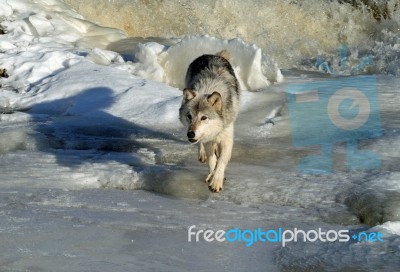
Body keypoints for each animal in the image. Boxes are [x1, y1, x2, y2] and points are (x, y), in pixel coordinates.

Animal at [180, 50, 239, 192]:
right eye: (189, 116)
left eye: (204, 118)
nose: (190, 134)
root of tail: (212, 55)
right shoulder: (207, 139)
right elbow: (212, 160)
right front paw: (211, 175)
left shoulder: (227, 139)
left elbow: (221, 162)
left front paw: (216, 181)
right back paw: (202, 154)